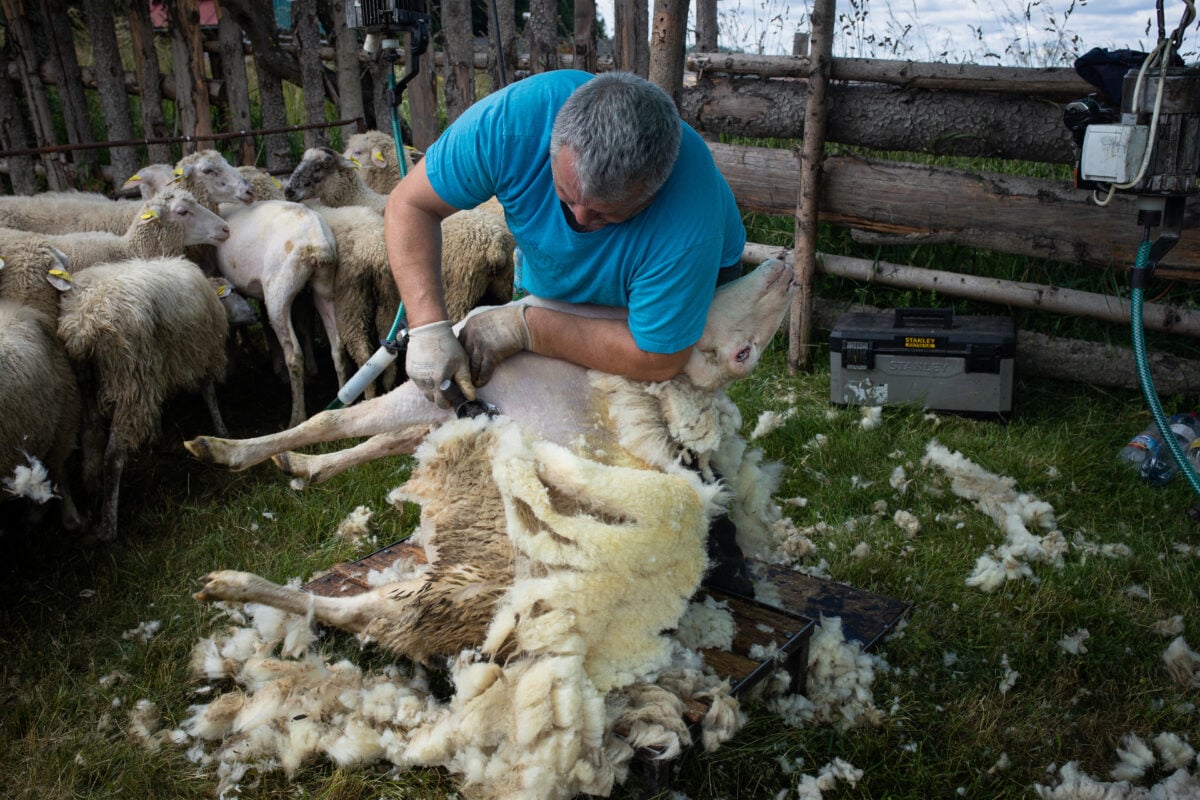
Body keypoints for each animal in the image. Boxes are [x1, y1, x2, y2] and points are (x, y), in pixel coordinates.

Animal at [58, 256, 229, 544]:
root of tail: (85, 325)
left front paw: (157, 438)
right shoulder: (203, 351)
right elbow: (209, 393)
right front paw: (221, 429)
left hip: (87, 386)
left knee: (91, 443)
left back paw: (92, 508)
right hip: (130, 380)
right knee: (113, 456)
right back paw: (108, 528)